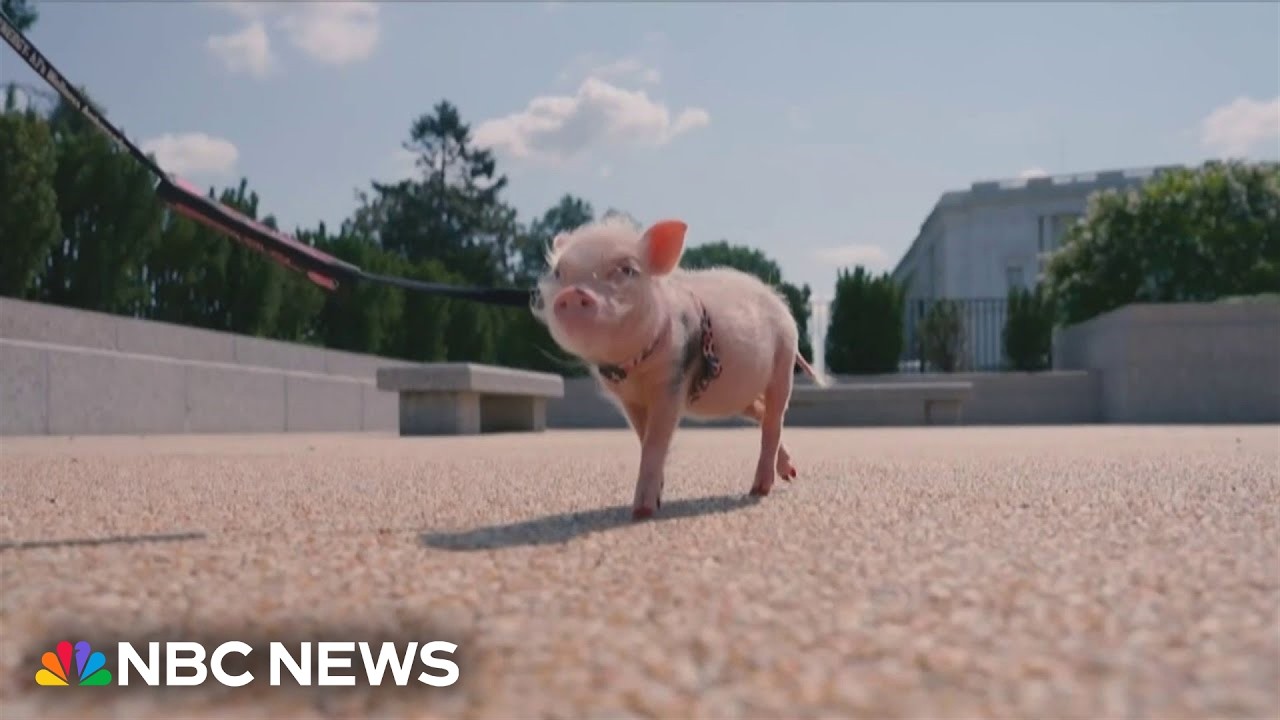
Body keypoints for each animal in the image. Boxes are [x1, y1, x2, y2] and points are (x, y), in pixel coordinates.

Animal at [529, 215, 828, 520]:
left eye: (627, 270)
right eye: (559, 273)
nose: (571, 294)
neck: (633, 368)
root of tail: (780, 305)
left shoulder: (671, 383)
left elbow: (655, 441)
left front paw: (642, 511)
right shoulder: (628, 399)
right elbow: (643, 436)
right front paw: (656, 499)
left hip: (783, 361)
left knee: (774, 420)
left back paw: (759, 489)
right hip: (742, 395)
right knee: (762, 413)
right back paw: (789, 472)